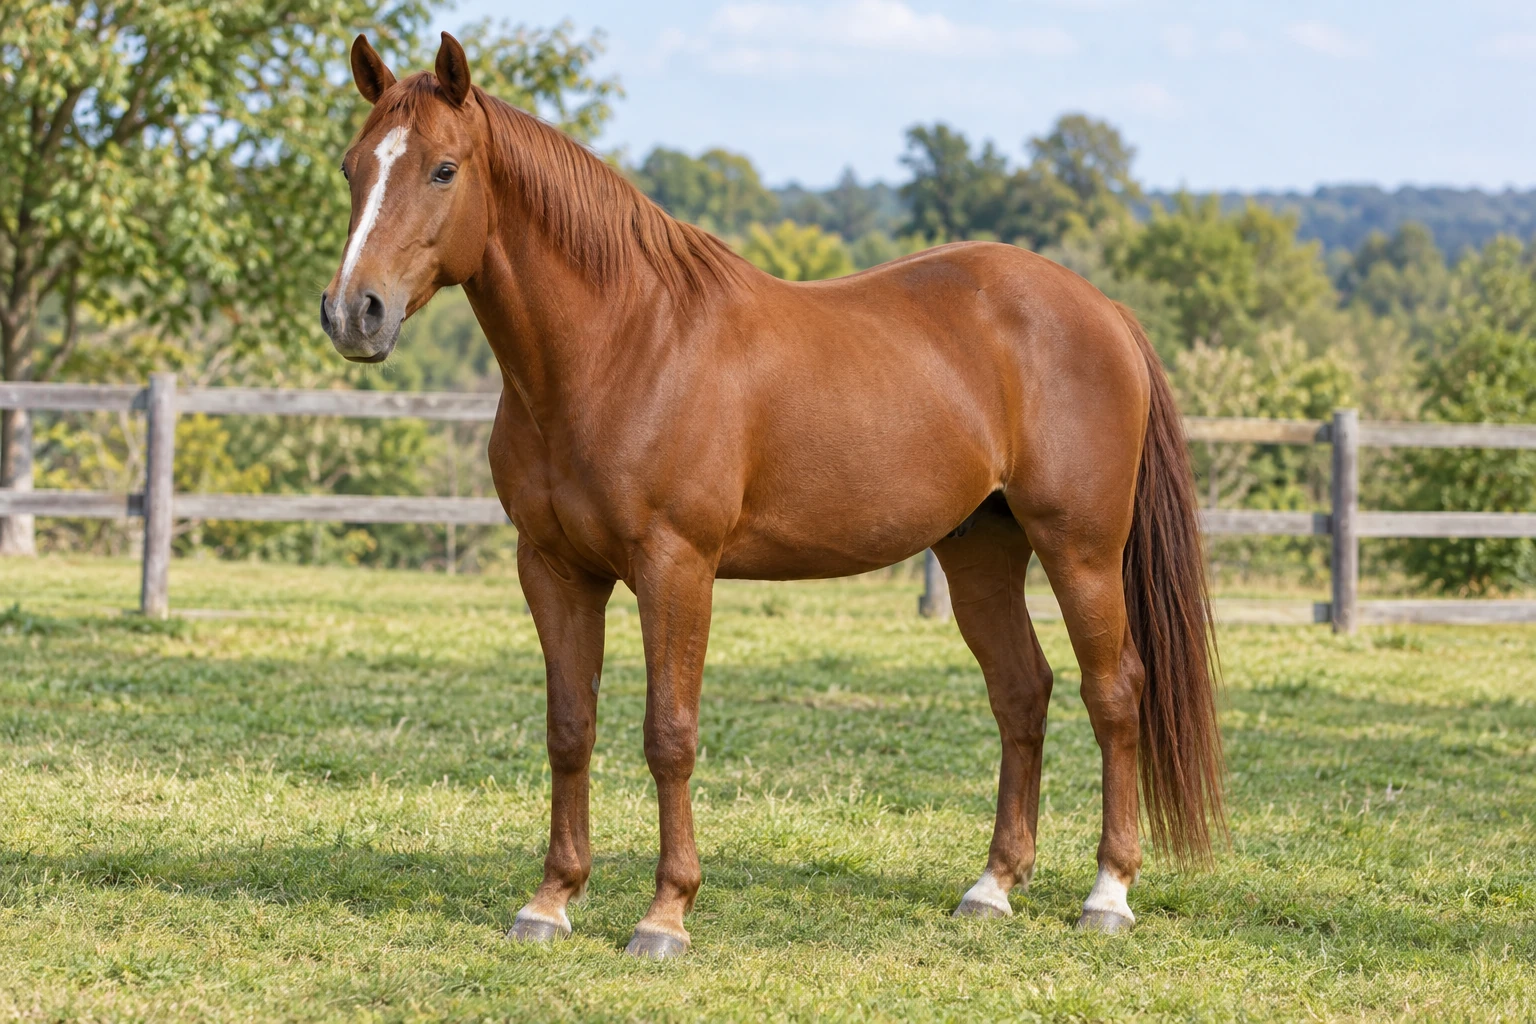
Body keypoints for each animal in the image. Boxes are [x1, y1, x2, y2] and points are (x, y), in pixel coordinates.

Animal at [320, 32, 1223, 959]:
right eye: (353, 166)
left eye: (443, 169)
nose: (355, 313)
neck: (621, 345)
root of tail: (1102, 308)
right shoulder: (554, 570)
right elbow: (570, 730)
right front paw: (551, 901)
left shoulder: (676, 567)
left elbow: (669, 734)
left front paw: (665, 914)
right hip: (981, 550)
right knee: (1021, 692)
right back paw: (992, 886)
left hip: (1081, 549)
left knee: (1113, 693)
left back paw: (1109, 893)